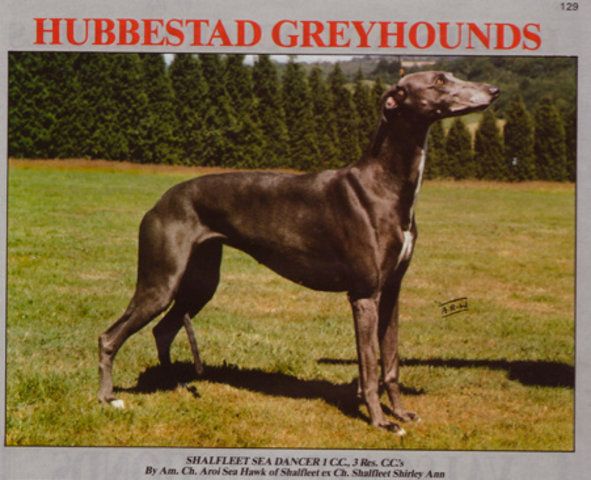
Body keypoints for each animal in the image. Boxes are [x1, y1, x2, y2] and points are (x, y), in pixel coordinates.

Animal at [98, 70, 499, 434]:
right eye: (439, 81)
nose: (493, 91)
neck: (384, 185)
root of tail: (160, 201)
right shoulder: (364, 295)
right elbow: (369, 366)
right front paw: (380, 421)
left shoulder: (391, 292)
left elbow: (391, 363)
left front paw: (401, 413)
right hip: (161, 282)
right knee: (110, 336)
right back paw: (108, 397)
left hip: (199, 282)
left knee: (163, 330)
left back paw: (176, 384)